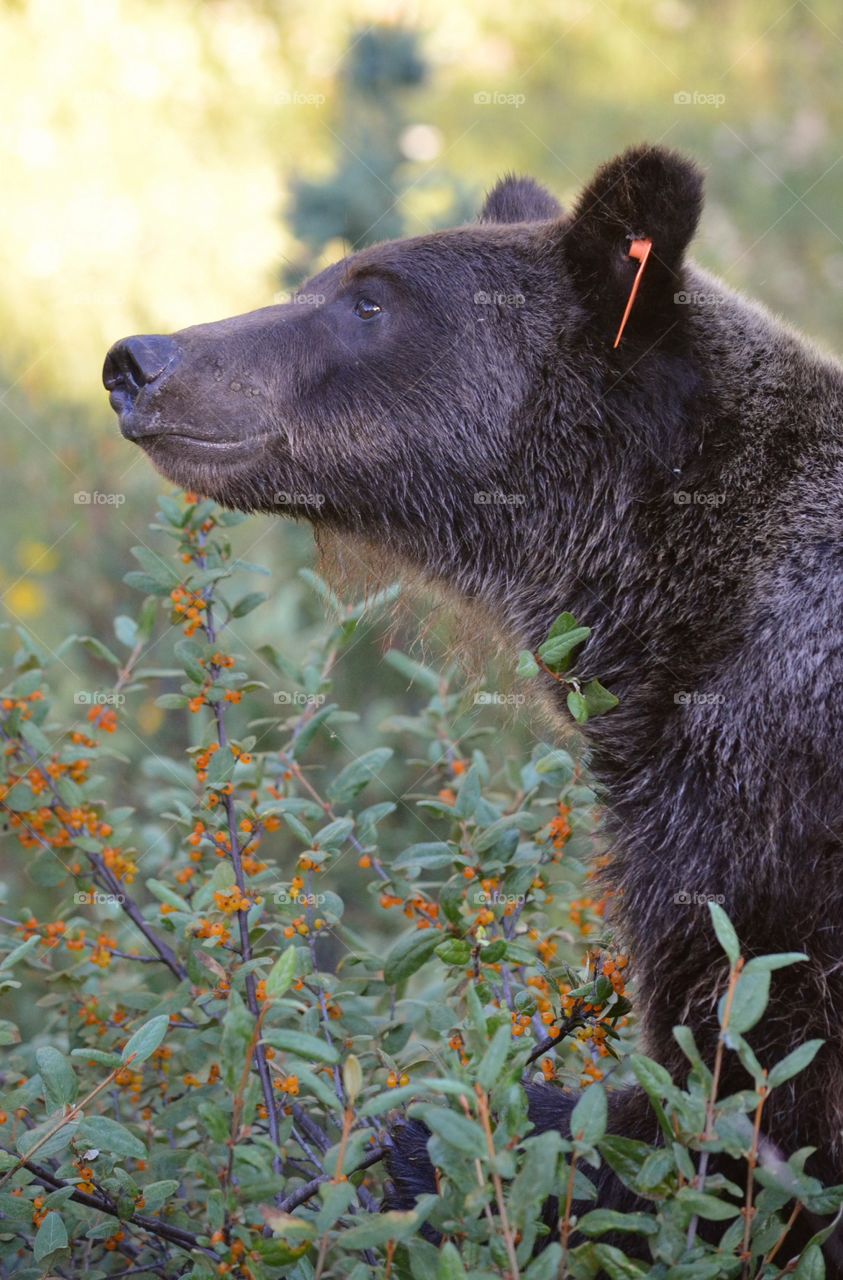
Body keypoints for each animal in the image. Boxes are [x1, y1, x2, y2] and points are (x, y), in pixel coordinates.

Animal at [103, 144, 843, 1269]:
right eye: (322, 279)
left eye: (369, 297)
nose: (138, 360)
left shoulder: (765, 804)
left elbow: (755, 1092)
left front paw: (448, 1138)